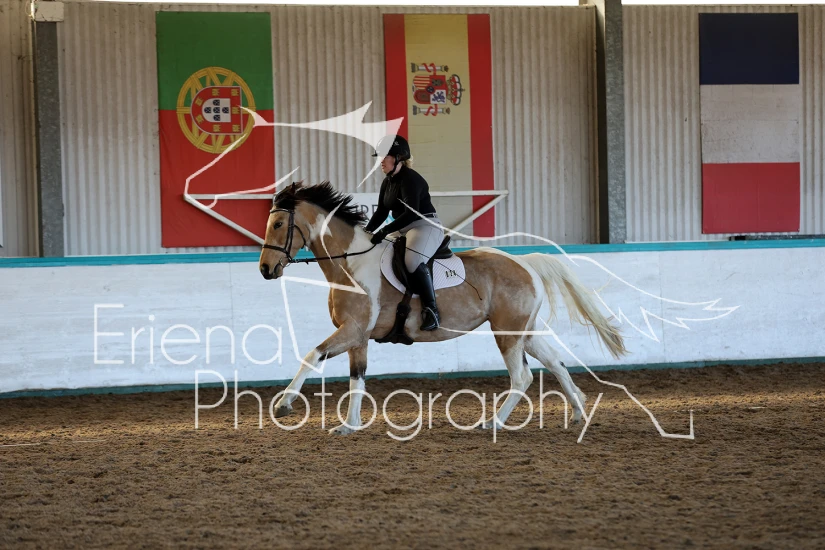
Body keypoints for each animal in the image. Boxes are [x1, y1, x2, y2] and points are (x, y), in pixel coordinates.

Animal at [259, 182, 627, 435]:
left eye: (278, 225)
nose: (265, 269)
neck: (350, 264)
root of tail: (525, 263)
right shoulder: (358, 336)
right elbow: (357, 379)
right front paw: (349, 425)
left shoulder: (352, 330)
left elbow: (312, 356)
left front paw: (284, 404)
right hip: (524, 330)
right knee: (555, 362)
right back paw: (578, 411)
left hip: (507, 332)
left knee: (522, 376)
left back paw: (493, 422)